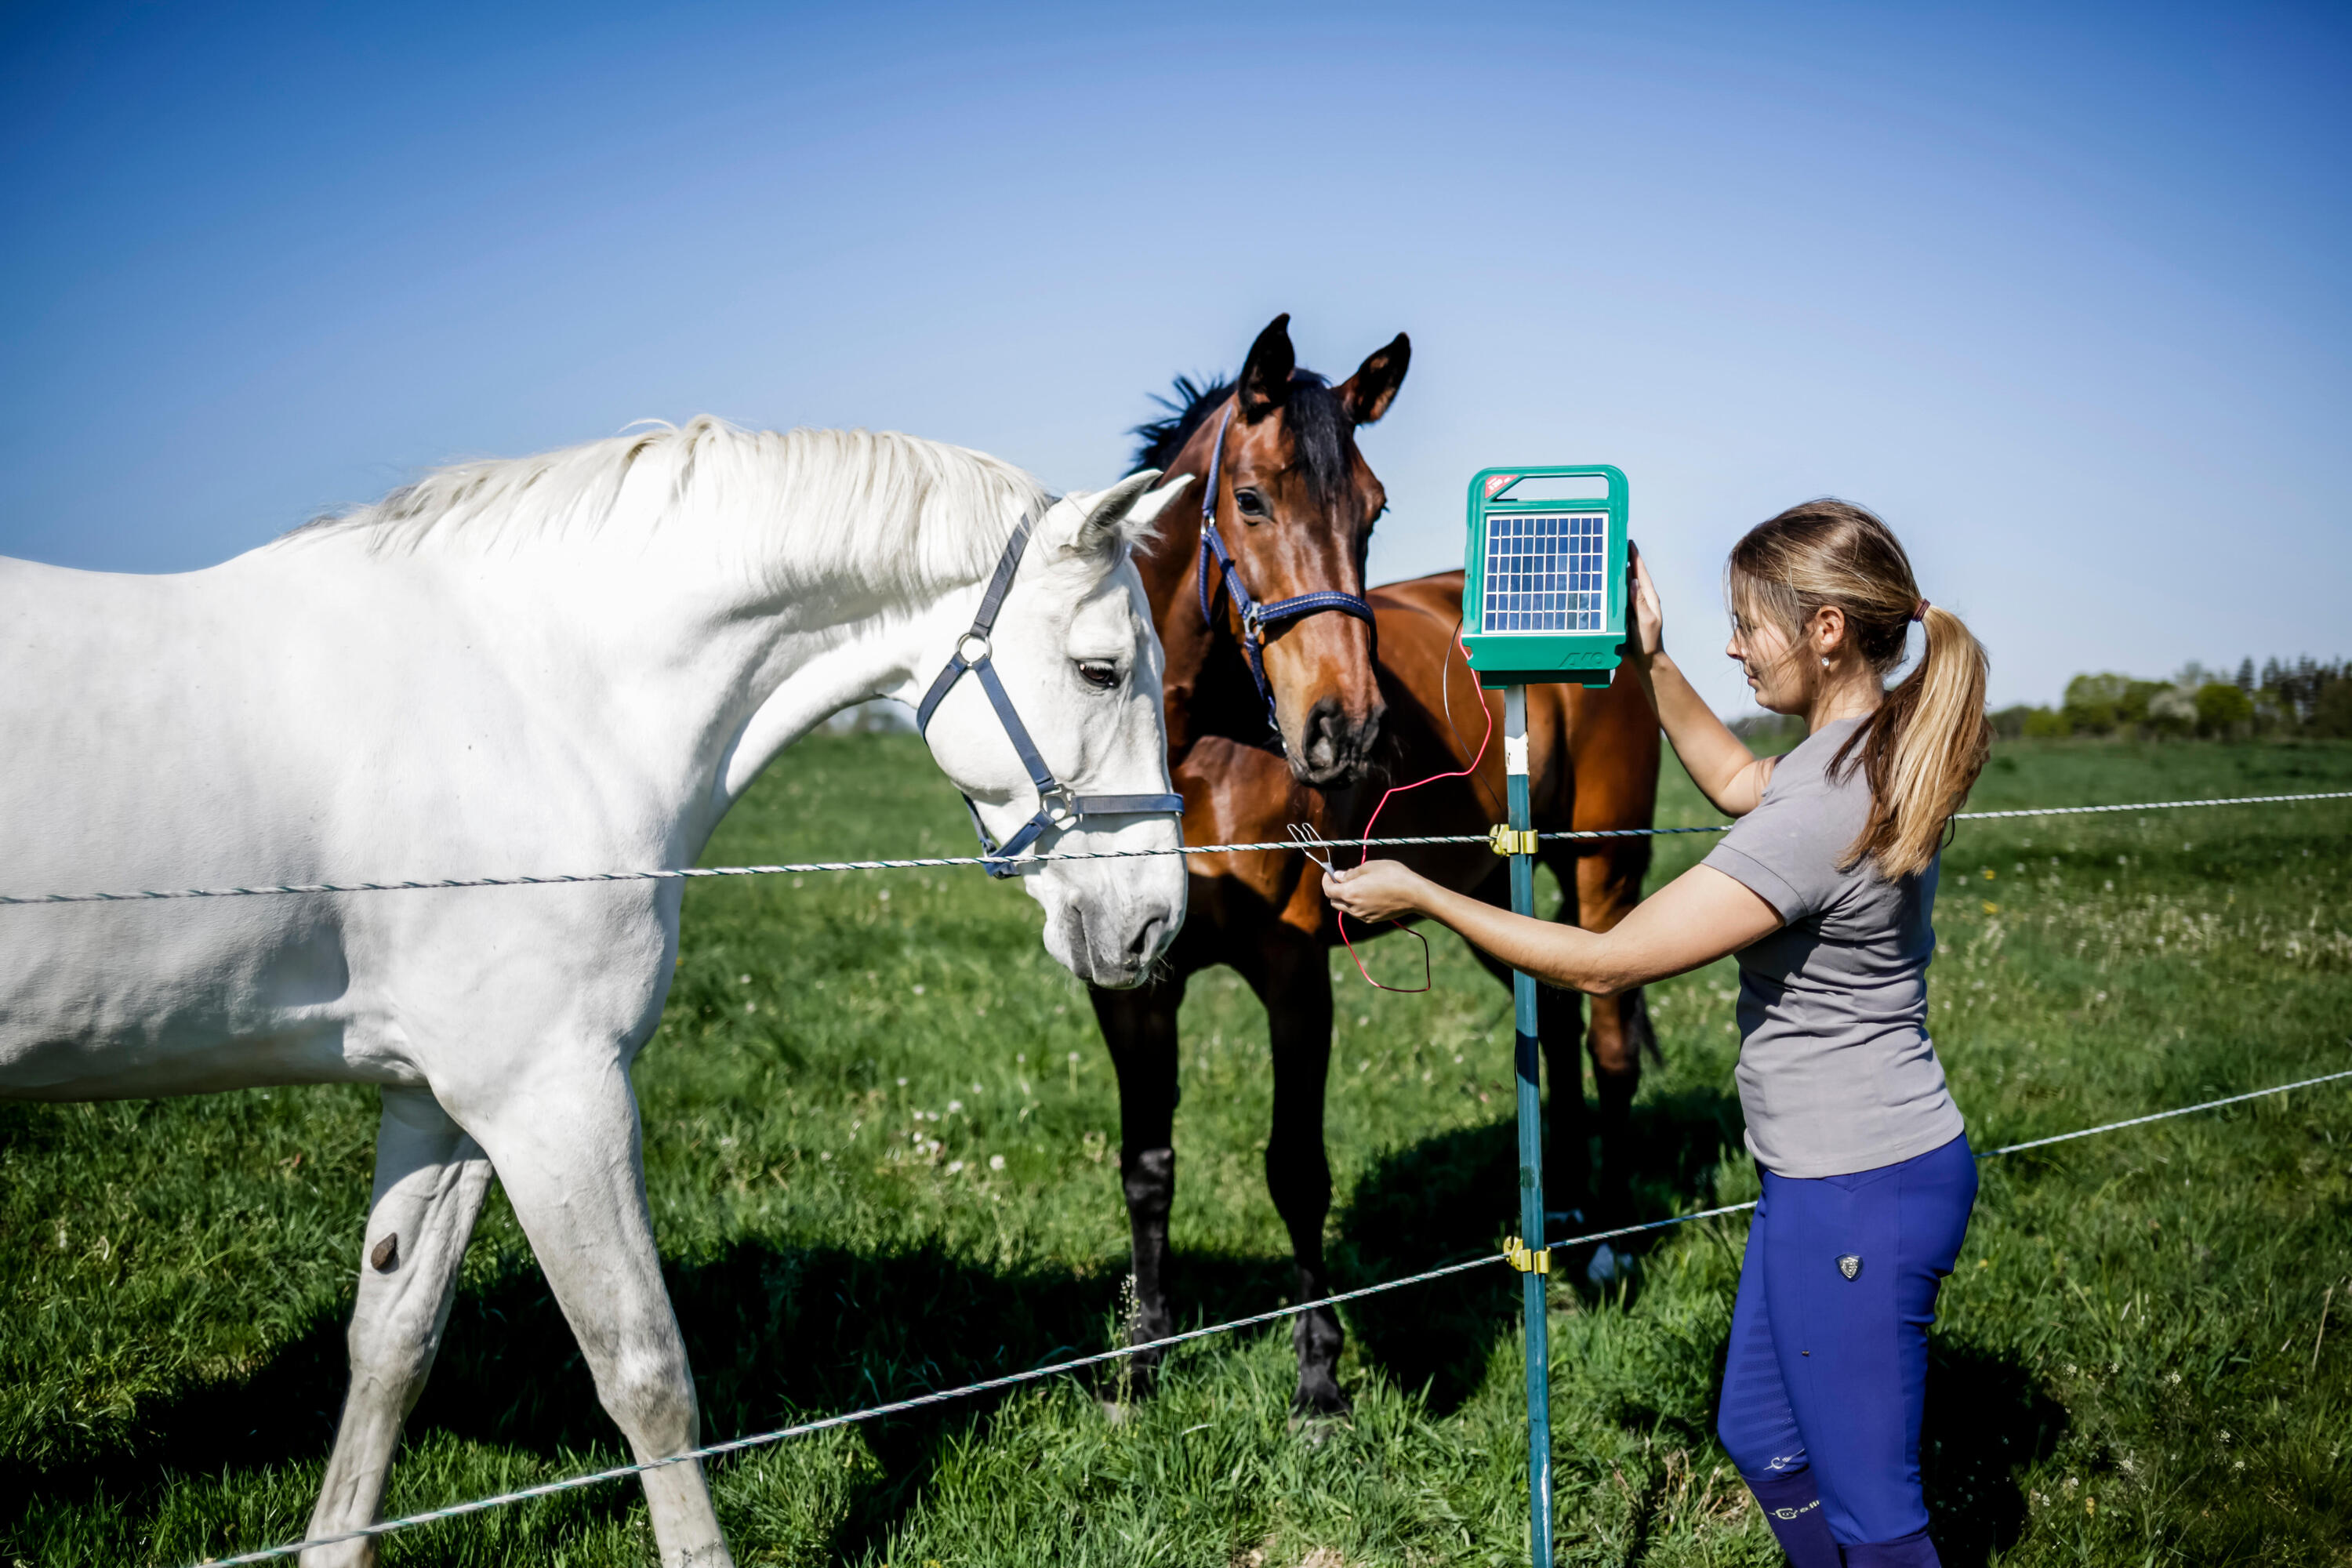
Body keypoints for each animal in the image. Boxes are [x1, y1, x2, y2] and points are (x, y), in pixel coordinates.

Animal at [0, 417, 1194, 1568]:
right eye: (1101, 670)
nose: (1156, 920)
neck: (528, 693)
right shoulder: (553, 1096)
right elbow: (646, 1374)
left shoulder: (443, 1104)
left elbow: (391, 1343)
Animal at [1093, 342, 1660, 1414]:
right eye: (1250, 499)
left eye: (1375, 509)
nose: (1346, 729)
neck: (1187, 756)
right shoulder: (1125, 983)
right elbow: (1146, 1166)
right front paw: (1140, 1360)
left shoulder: (1294, 972)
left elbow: (1296, 1168)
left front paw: (1319, 1377)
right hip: (1491, 897)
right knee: (1560, 1014)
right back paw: (1563, 1209)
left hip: (1605, 870)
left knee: (1611, 1036)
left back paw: (1611, 1241)